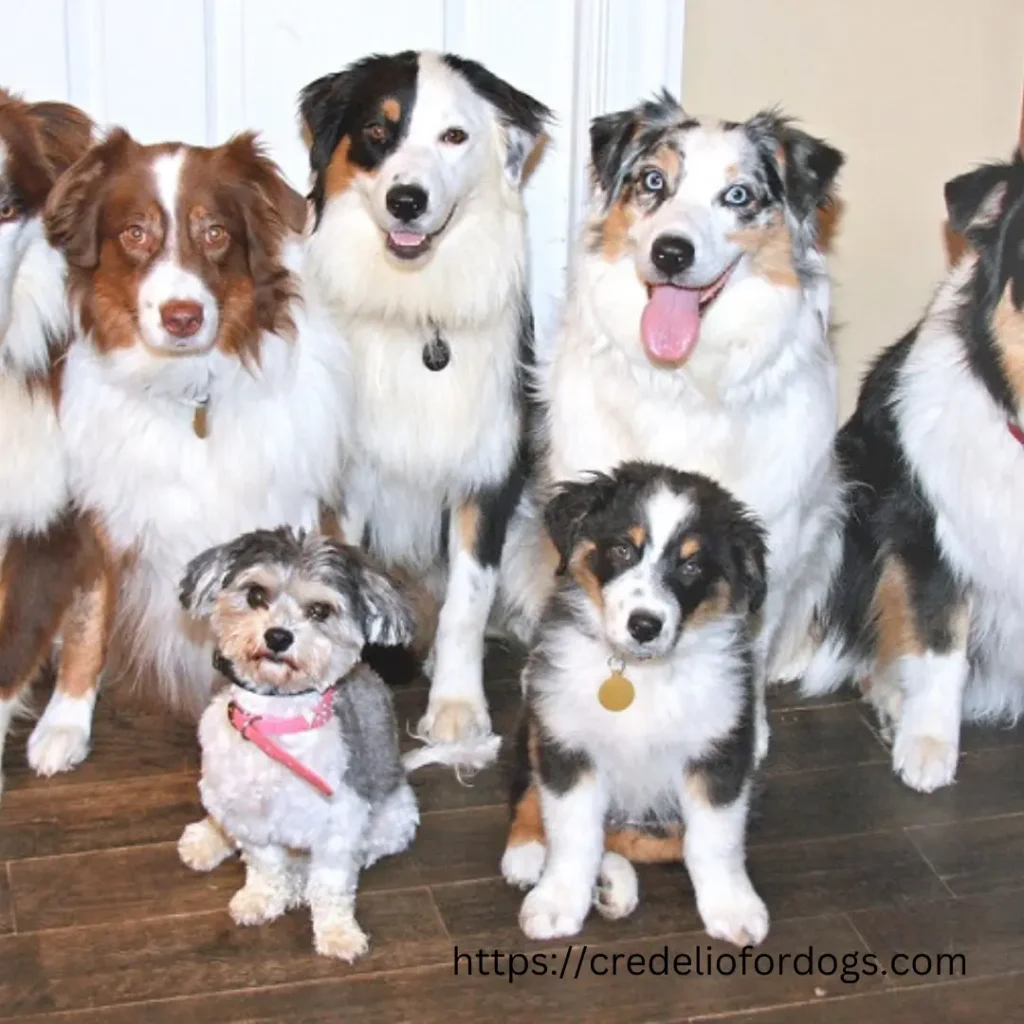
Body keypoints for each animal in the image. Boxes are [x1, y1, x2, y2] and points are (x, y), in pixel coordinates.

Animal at [45, 130, 348, 737]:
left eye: (215, 233)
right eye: (135, 233)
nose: (182, 316)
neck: (190, 390)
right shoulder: (105, 521)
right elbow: (90, 616)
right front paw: (63, 723)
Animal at [177, 528, 419, 958]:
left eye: (320, 611)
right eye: (256, 594)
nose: (278, 636)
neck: (276, 724)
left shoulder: (339, 825)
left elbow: (331, 885)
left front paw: (337, 932)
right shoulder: (250, 820)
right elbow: (265, 865)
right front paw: (261, 897)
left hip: (395, 819)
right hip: (217, 792)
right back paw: (208, 839)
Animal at [503, 460, 770, 946]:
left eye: (691, 565)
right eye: (623, 550)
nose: (645, 625)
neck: (638, 674)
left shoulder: (720, 750)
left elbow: (713, 839)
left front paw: (733, 907)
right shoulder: (567, 740)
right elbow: (573, 833)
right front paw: (556, 902)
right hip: (534, 722)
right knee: (530, 791)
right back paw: (528, 852)